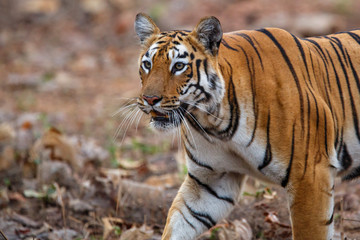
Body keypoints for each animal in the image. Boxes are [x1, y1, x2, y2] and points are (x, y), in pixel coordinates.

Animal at [133, 13, 360, 240]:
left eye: (179, 67)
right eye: (147, 64)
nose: (149, 99)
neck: (214, 122)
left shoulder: (310, 174)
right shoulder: (211, 180)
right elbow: (179, 222)